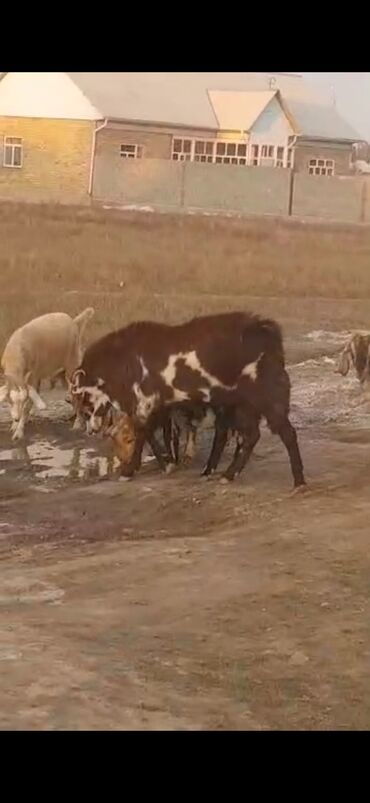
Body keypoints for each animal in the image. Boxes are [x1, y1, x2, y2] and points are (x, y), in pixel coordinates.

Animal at [71, 312, 304, 490]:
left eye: (83, 400)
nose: (91, 430)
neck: (120, 360)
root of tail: (267, 333)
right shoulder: (159, 407)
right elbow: (154, 435)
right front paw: (167, 463)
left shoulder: (145, 403)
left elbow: (143, 435)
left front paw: (130, 471)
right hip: (242, 405)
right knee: (251, 436)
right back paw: (227, 474)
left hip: (266, 398)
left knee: (286, 433)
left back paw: (299, 481)